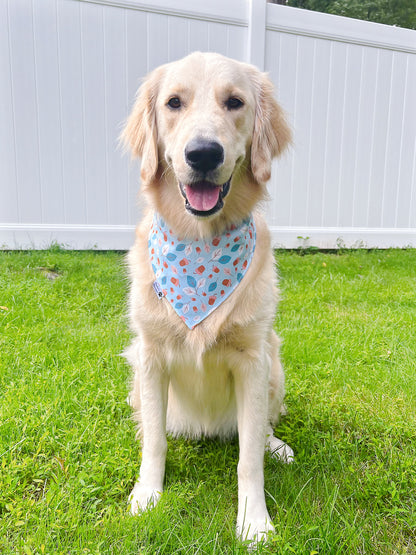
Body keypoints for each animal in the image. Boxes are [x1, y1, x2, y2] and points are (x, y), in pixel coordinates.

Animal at [122, 52, 292, 548]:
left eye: (234, 102)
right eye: (173, 102)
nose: (203, 153)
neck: (200, 247)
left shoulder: (252, 361)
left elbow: (249, 458)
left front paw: (254, 522)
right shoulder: (150, 356)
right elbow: (155, 442)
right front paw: (147, 495)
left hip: (275, 364)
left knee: (262, 428)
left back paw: (277, 445)